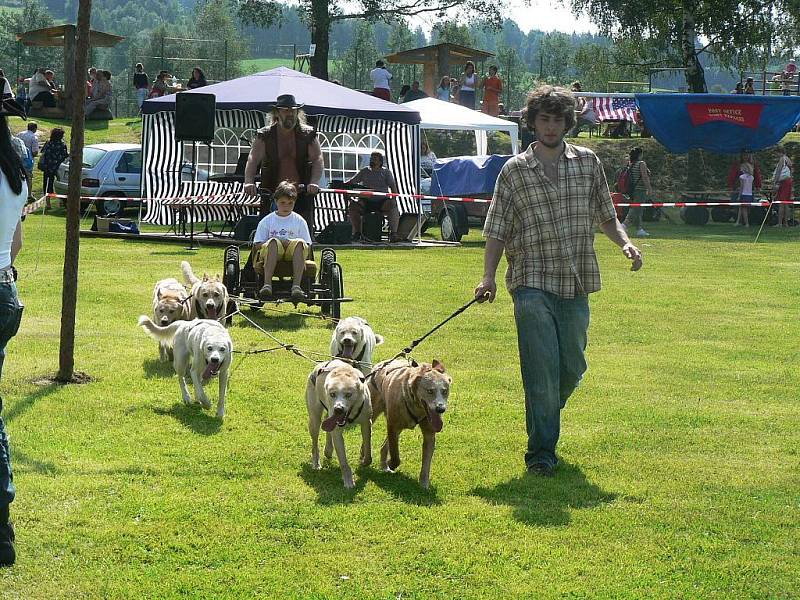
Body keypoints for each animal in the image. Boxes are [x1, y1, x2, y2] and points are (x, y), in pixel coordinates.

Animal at [304, 358, 374, 490]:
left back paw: (328, 450)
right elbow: (343, 461)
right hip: (314, 420)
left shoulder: (366, 423)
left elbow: (368, 448)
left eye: (348, 394)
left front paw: (364, 461)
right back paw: (316, 462)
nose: (338, 409)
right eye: (332, 394)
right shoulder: (337, 432)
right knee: (315, 444)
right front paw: (348, 480)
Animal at [368, 358, 450, 490]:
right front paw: (391, 463)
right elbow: (396, 456)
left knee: (384, 446)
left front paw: (424, 485)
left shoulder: (429, 433)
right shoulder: (393, 426)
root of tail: (380, 365)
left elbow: (426, 463)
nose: (440, 409)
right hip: (374, 412)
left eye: (445, 391)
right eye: (430, 391)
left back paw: (384, 466)